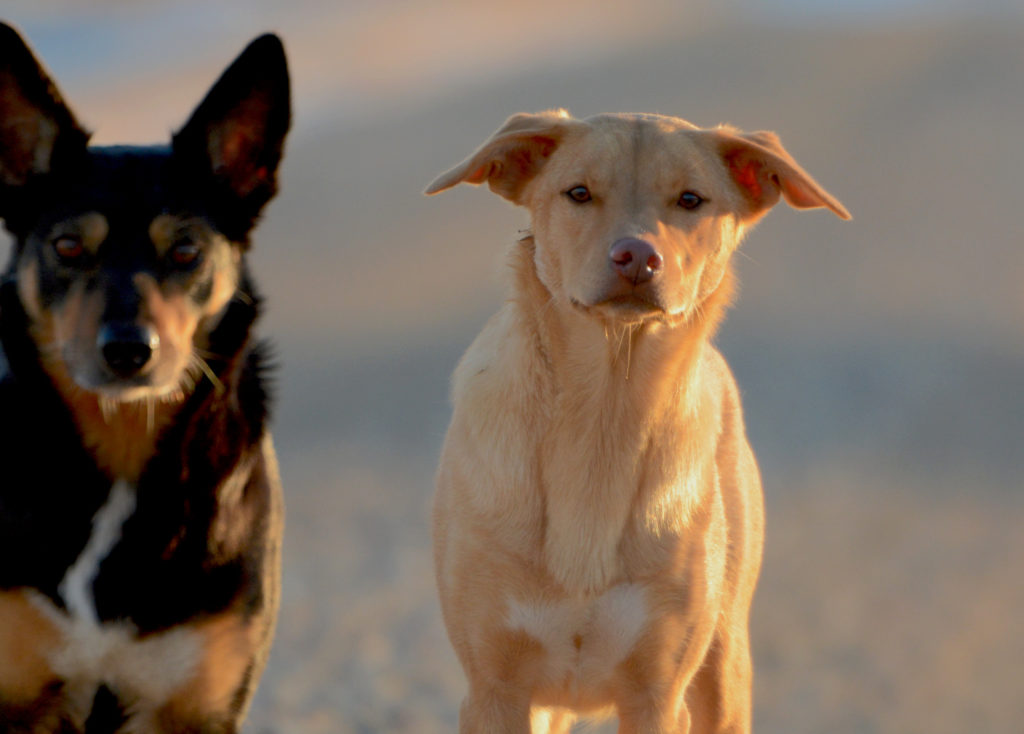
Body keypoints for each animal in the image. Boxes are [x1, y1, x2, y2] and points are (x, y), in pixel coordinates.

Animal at [423, 110, 847, 732]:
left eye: (691, 200)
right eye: (578, 193)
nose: (637, 257)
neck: (603, 418)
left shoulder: (658, 692)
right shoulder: (494, 688)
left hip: (723, 668)